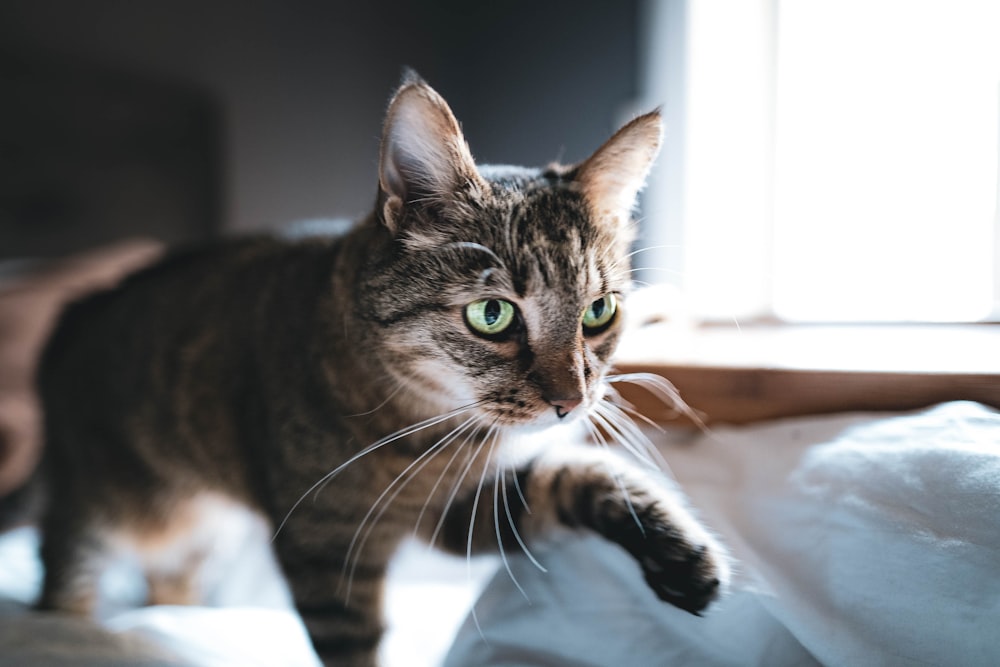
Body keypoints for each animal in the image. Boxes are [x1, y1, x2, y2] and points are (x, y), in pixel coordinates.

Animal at [33, 73, 728, 664]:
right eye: (493, 314)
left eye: (598, 311)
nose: (572, 401)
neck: (423, 430)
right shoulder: (325, 551)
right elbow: (356, 646)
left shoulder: (468, 510)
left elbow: (582, 473)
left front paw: (681, 550)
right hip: (95, 507)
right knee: (64, 576)